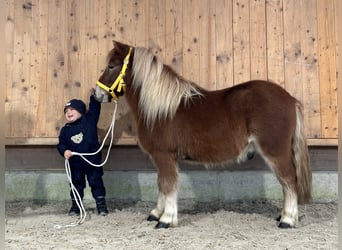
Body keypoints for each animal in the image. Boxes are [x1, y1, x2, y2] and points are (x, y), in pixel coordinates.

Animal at [95, 40, 312, 229]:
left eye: (112, 66)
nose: (97, 94)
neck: (160, 108)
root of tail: (290, 99)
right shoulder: (162, 158)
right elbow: (161, 184)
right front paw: (156, 213)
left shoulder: (164, 155)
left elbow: (168, 184)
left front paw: (166, 219)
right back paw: (283, 216)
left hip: (275, 151)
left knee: (289, 180)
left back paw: (288, 220)